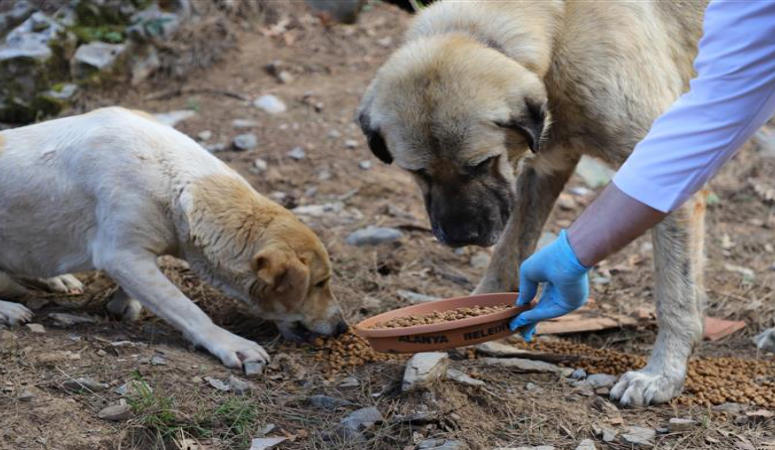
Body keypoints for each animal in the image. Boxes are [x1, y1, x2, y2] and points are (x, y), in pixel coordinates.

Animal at [0, 108, 346, 370]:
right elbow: (187, 308)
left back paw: (57, 280)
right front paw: (230, 343)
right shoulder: (123, 255)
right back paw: (10, 309)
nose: (342, 327)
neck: (175, 179)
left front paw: (124, 303)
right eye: (319, 284)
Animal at [360, 0, 712, 408]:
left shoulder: (666, 173)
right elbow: (507, 256)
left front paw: (663, 373)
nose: (461, 237)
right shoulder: (544, 168)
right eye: (418, 172)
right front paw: (472, 319)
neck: (558, 28)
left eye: (481, 163)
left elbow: (676, 297)